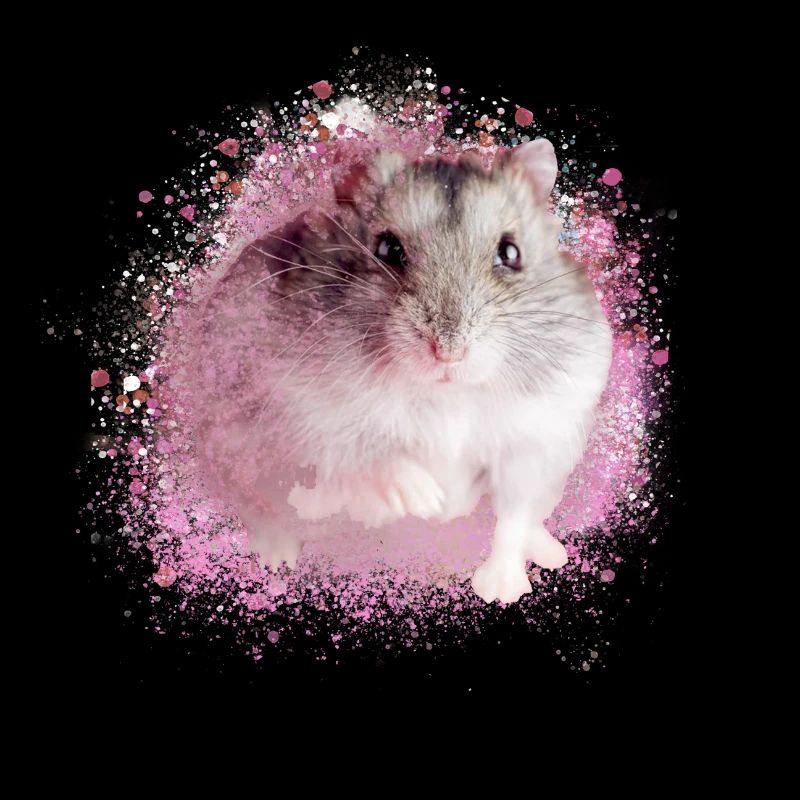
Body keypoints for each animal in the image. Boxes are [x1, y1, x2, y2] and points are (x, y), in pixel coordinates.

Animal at [192, 136, 613, 604]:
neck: (448, 393)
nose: (448, 352)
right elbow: (364, 451)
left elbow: (513, 517)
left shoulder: (537, 440)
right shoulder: (295, 407)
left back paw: (552, 552)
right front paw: (424, 499)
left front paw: (500, 590)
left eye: (510, 253)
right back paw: (282, 551)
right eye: (388, 250)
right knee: (264, 508)